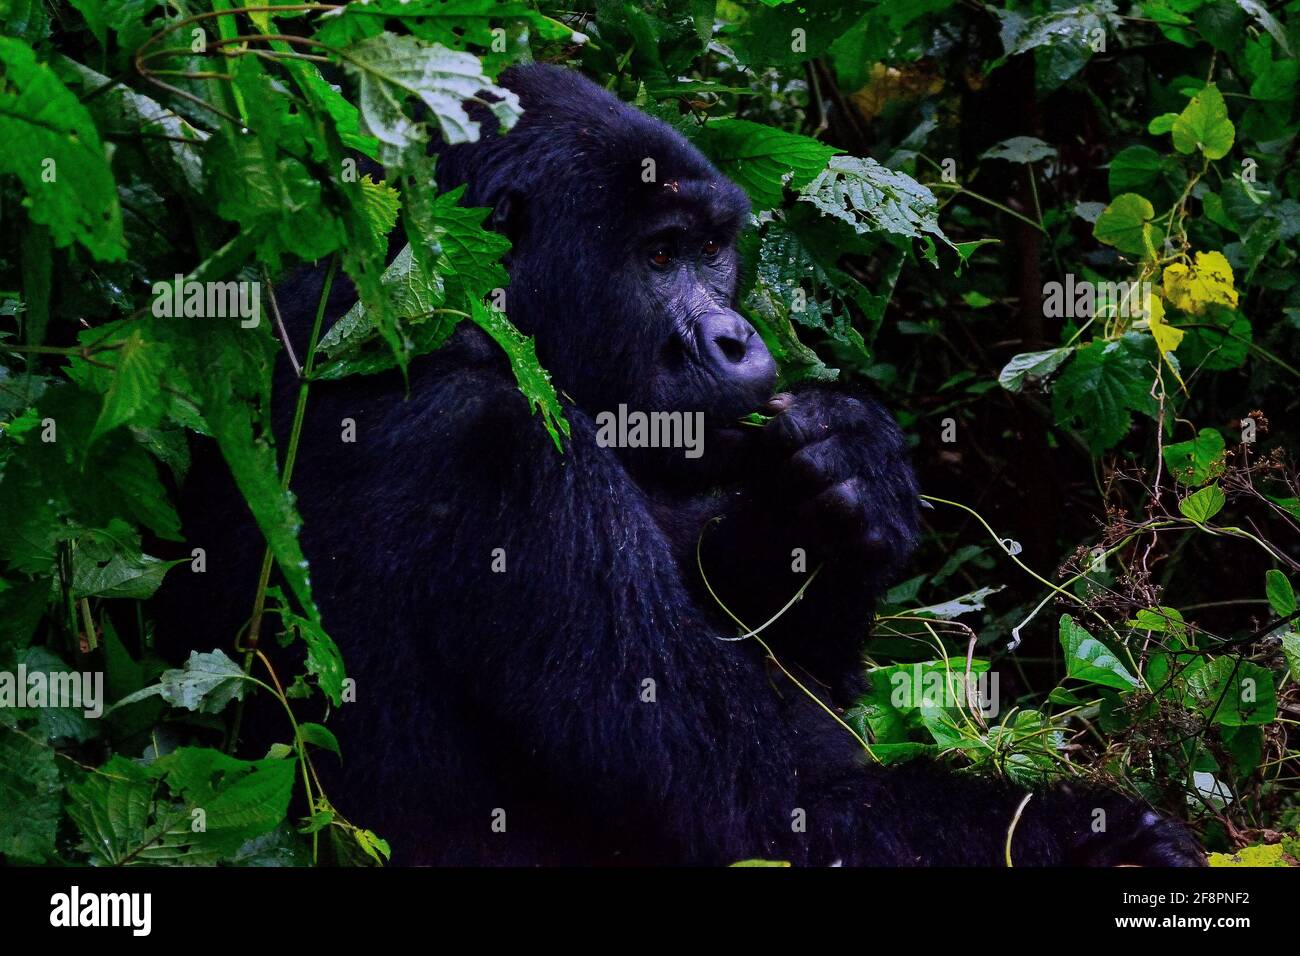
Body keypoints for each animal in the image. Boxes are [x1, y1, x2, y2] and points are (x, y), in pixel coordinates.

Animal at [170, 63, 1196, 863]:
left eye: (710, 248)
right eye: (659, 256)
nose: (737, 339)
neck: (429, 307)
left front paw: (841, 484)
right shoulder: (515, 460)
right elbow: (764, 813)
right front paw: (1104, 838)